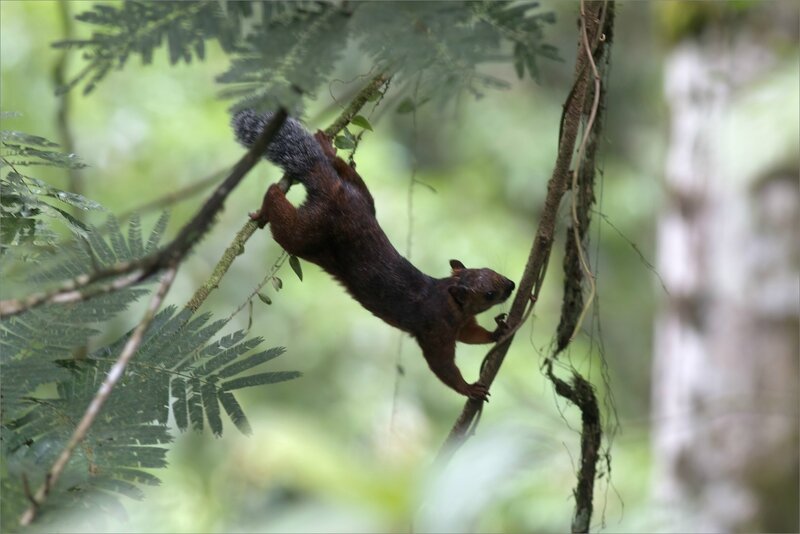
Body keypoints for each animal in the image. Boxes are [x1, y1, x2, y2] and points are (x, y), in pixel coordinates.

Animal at [231, 110, 512, 402]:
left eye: (491, 271)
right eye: (489, 294)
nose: (512, 285)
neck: (450, 300)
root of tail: (335, 192)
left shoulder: (462, 323)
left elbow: (472, 334)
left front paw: (498, 332)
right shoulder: (435, 331)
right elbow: (442, 366)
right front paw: (469, 388)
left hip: (361, 195)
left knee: (344, 172)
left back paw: (325, 148)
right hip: (306, 235)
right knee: (283, 213)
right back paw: (269, 200)